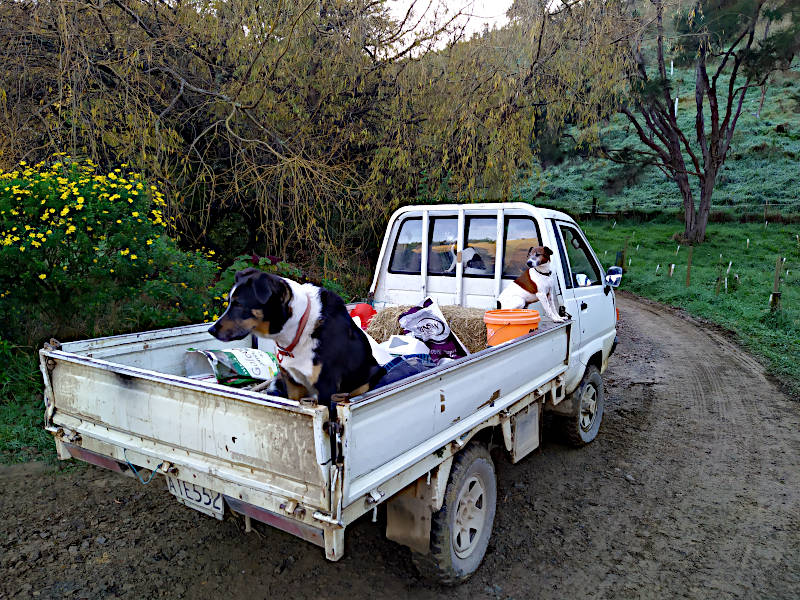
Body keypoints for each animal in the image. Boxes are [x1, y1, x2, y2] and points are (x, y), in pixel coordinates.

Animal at [205, 270, 382, 410]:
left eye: (239, 304)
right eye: (229, 302)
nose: (211, 330)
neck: (298, 328)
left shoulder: (326, 385)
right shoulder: (292, 382)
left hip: (373, 374)